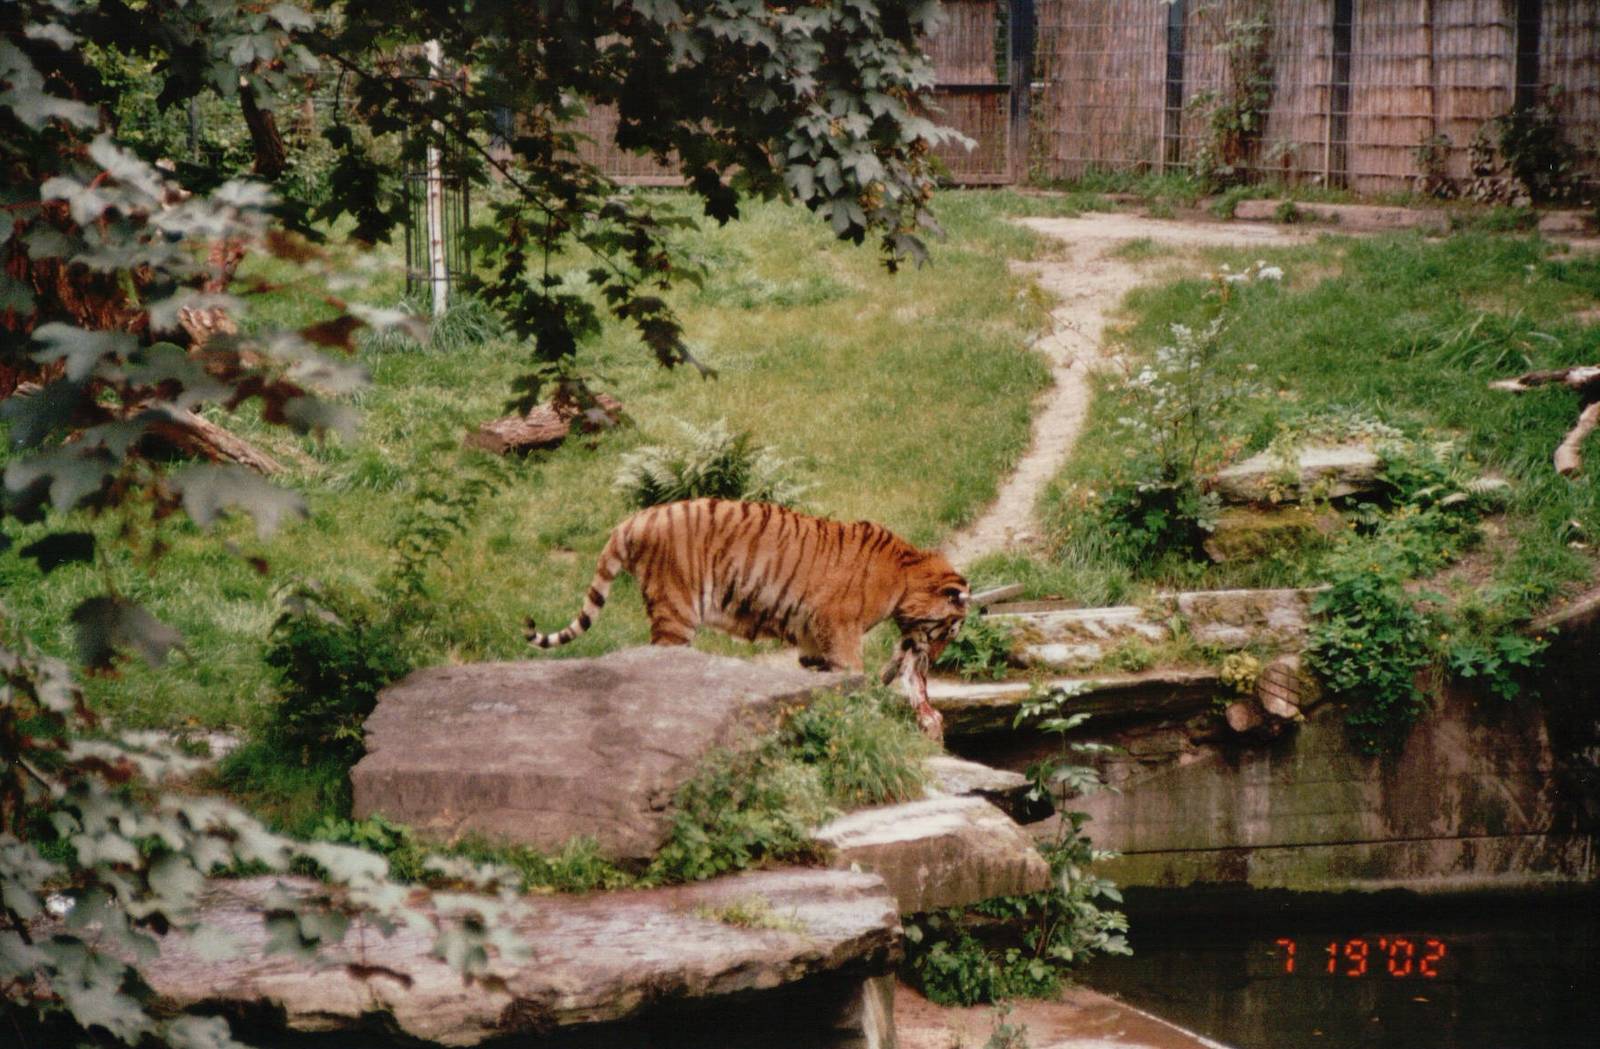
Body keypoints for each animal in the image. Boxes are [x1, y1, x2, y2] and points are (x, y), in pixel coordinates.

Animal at [523, 498, 969, 736]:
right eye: (948, 630)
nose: (935, 660)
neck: (907, 572)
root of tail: (634, 518)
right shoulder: (839, 631)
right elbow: (851, 676)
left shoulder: (813, 642)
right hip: (676, 609)